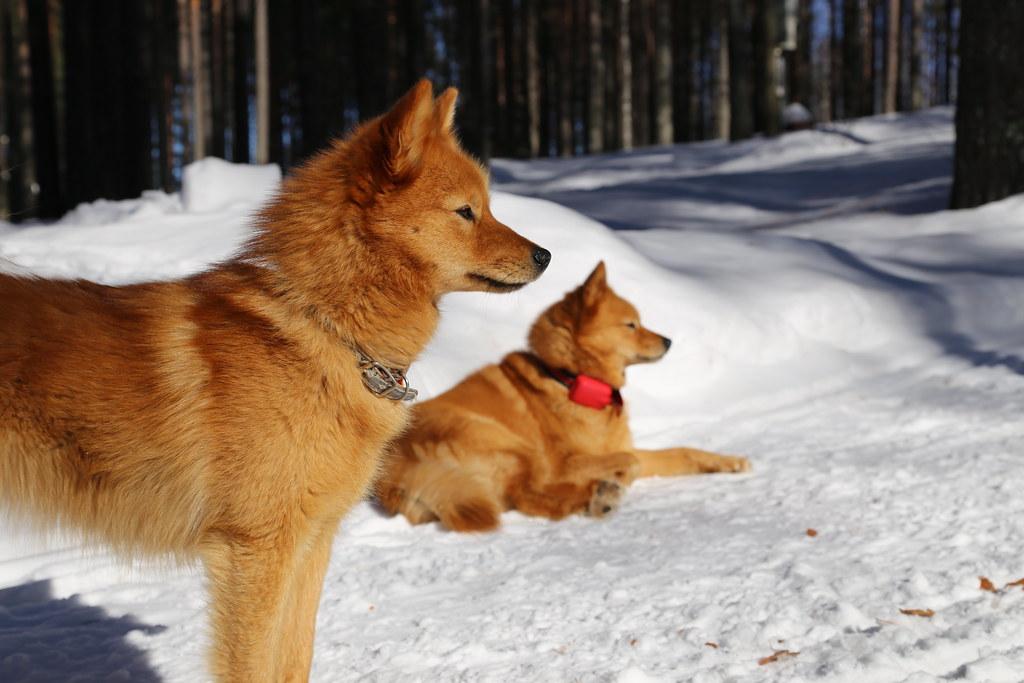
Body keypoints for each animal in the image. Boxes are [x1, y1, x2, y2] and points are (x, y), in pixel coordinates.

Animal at [0, 81, 552, 683]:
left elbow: (294, 660)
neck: (325, 330)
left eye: (488, 207)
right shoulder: (255, 551)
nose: (545, 255)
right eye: (465, 212)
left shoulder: (310, 544)